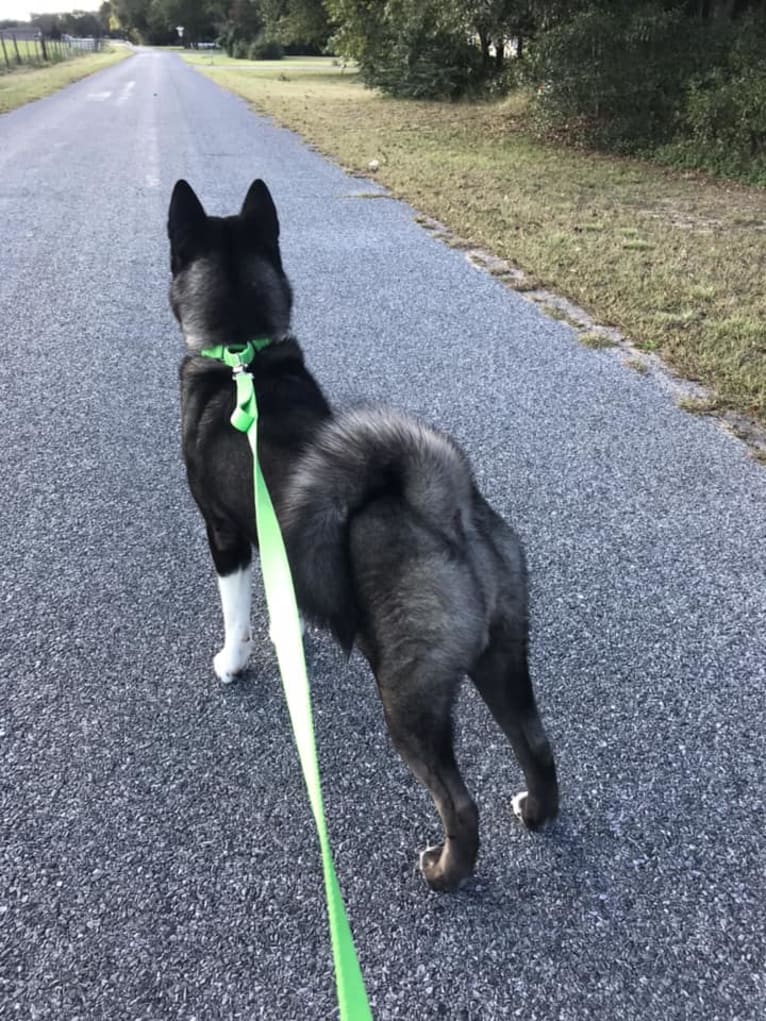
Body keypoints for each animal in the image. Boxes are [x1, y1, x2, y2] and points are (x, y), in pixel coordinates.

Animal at [167, 179, 559, 890]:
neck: (243, 355)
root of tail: (444, 509)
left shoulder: (225, 534)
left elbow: (236, 615)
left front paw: (233, 664)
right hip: (504, 654)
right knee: (538, 745)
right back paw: (536, 811)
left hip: (409, 696)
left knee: (459, 804)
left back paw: (444, 871)